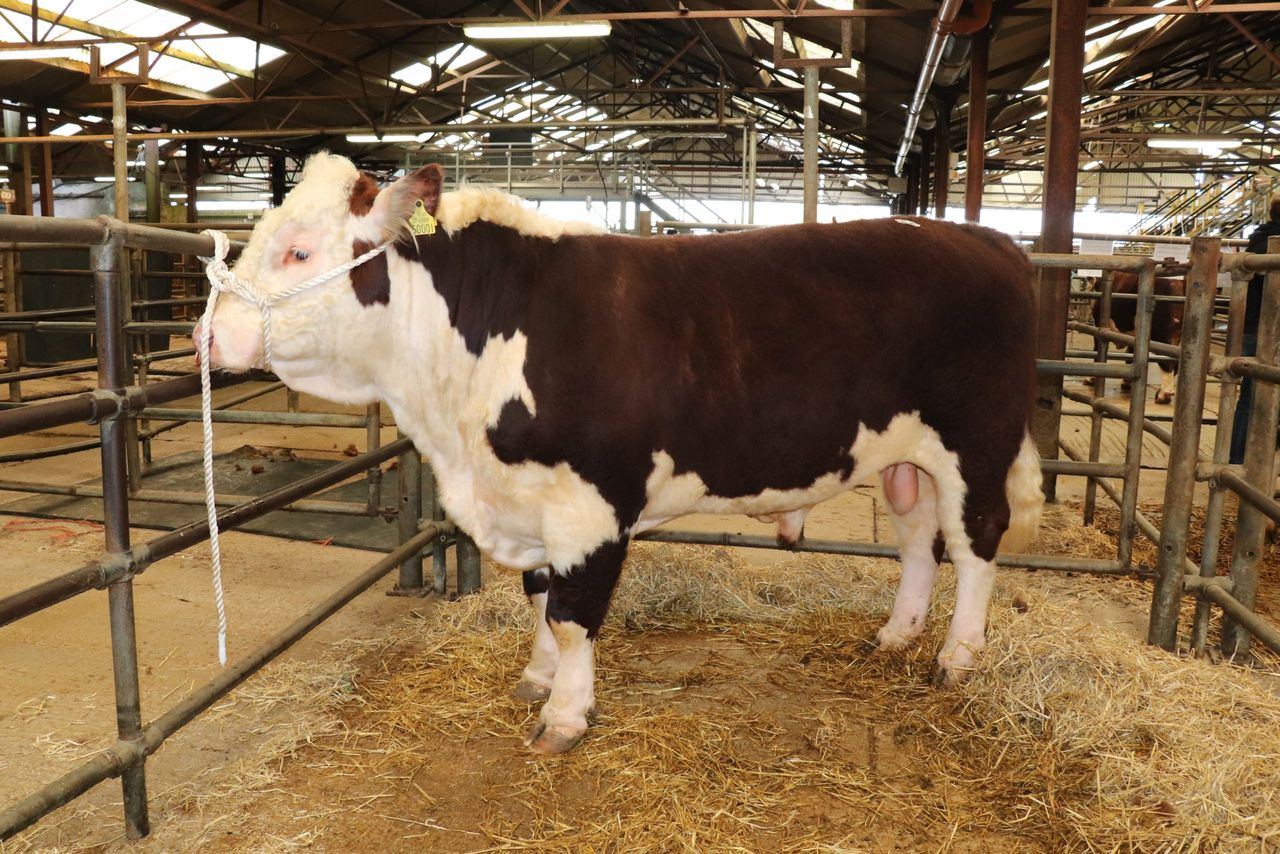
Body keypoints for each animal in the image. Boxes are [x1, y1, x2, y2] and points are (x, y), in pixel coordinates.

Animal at [202, 154, 1044, 755]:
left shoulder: (590, 504)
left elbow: (574, 615)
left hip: (978, 441)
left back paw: (956, 656)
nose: (208, 335)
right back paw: (897, 633)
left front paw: (566, 716)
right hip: (908, 456)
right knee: (918, 539)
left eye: (299, 251)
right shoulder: (531, 502)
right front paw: (537, 679)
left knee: (975, 543)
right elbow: (538, 597)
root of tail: (981, 236)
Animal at [1089, 270, 1185, 404]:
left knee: (1167, 361)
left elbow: (1096, 349)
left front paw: (1090, 379)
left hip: (1163, 333)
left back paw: (1163, 395)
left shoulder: (1098, 322)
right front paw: (1126, 382)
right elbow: (1131, 354)